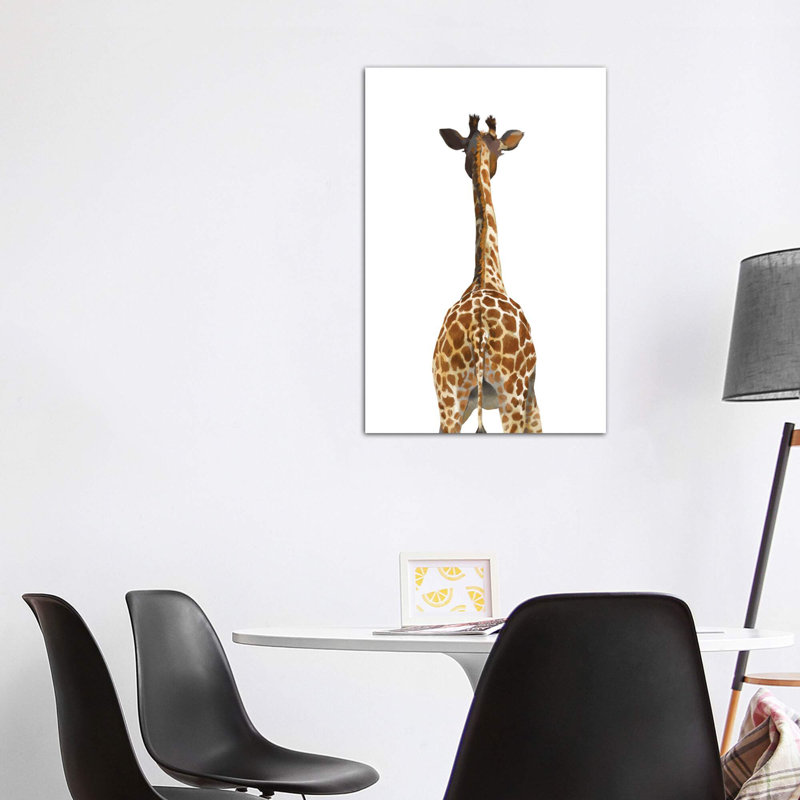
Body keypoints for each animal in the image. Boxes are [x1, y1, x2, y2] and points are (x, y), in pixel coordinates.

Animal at [432, 114, 542, 434]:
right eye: (501, 152)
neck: (488, 276)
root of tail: (478, 332)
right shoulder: (533, 393)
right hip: (511, 394)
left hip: (449, 400)